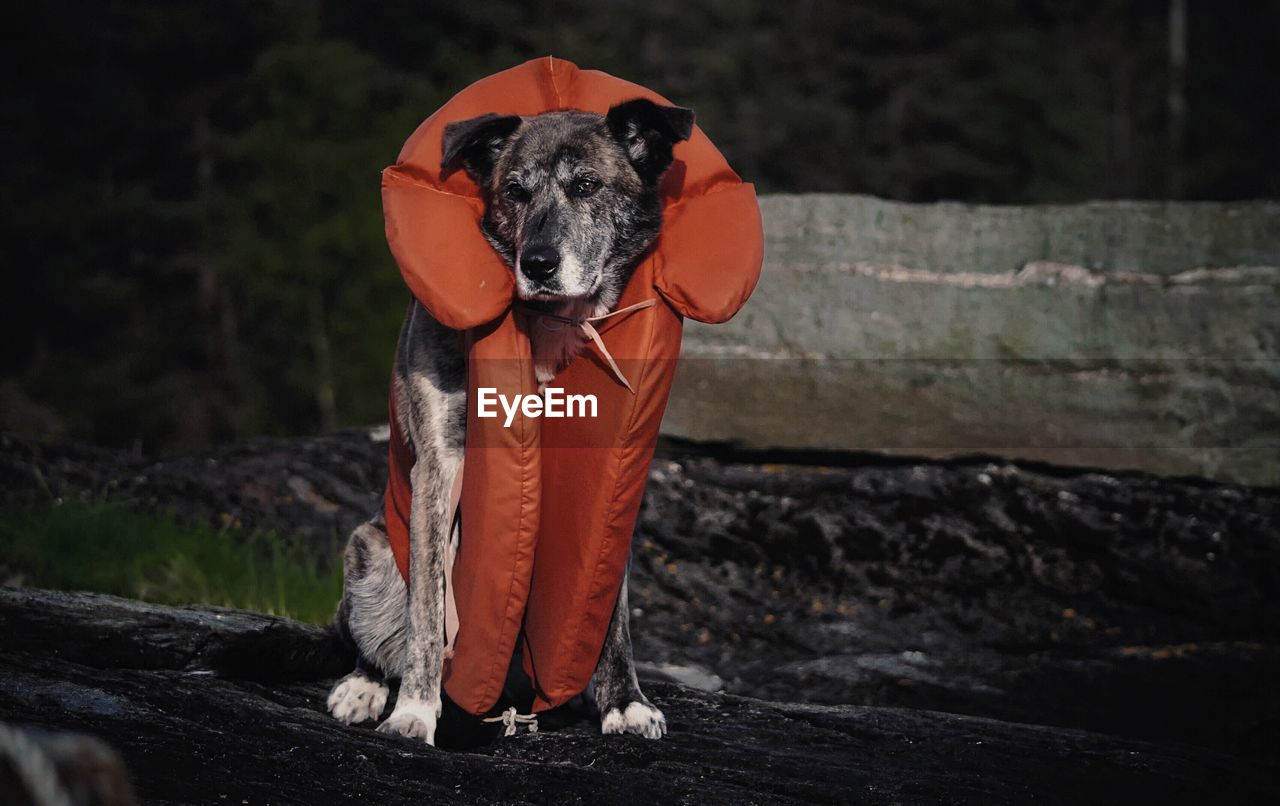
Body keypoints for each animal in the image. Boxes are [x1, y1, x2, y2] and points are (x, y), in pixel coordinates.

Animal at [325, 97, 696, 747]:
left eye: (587, 185)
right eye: (516, 191)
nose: (538, 263)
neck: (552, 325)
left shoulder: (616, 478)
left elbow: (610, 607)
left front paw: (625, 702)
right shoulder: (440, 467)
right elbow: (429, 610)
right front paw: (414, 712)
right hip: (368, 548)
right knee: (376, 635)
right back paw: (364, 687)